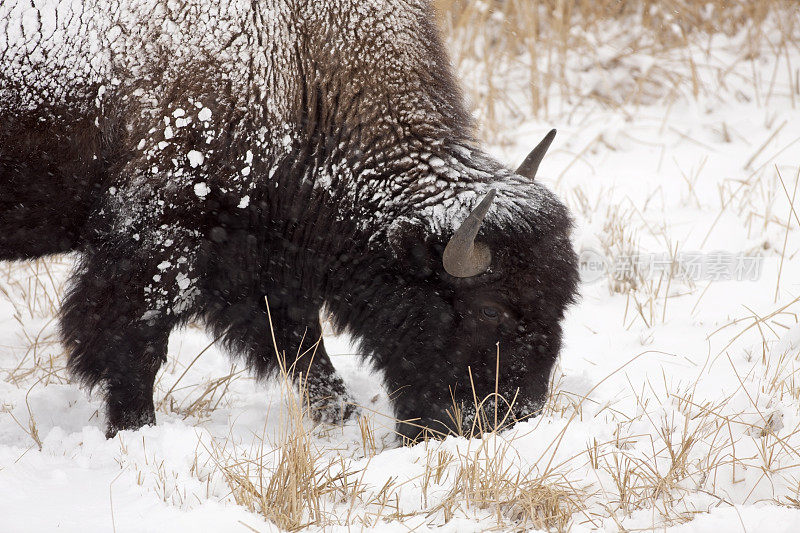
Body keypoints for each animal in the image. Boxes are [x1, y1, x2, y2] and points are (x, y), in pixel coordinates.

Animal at [0, 1, 576, 440]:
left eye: (562, 303)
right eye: (490, 310)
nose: (515, 418)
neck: (300, 68)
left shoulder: (252, 261)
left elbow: (299, 346)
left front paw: (341, 421)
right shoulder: (156, 245)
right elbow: (131, 346)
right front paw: (135, 431)